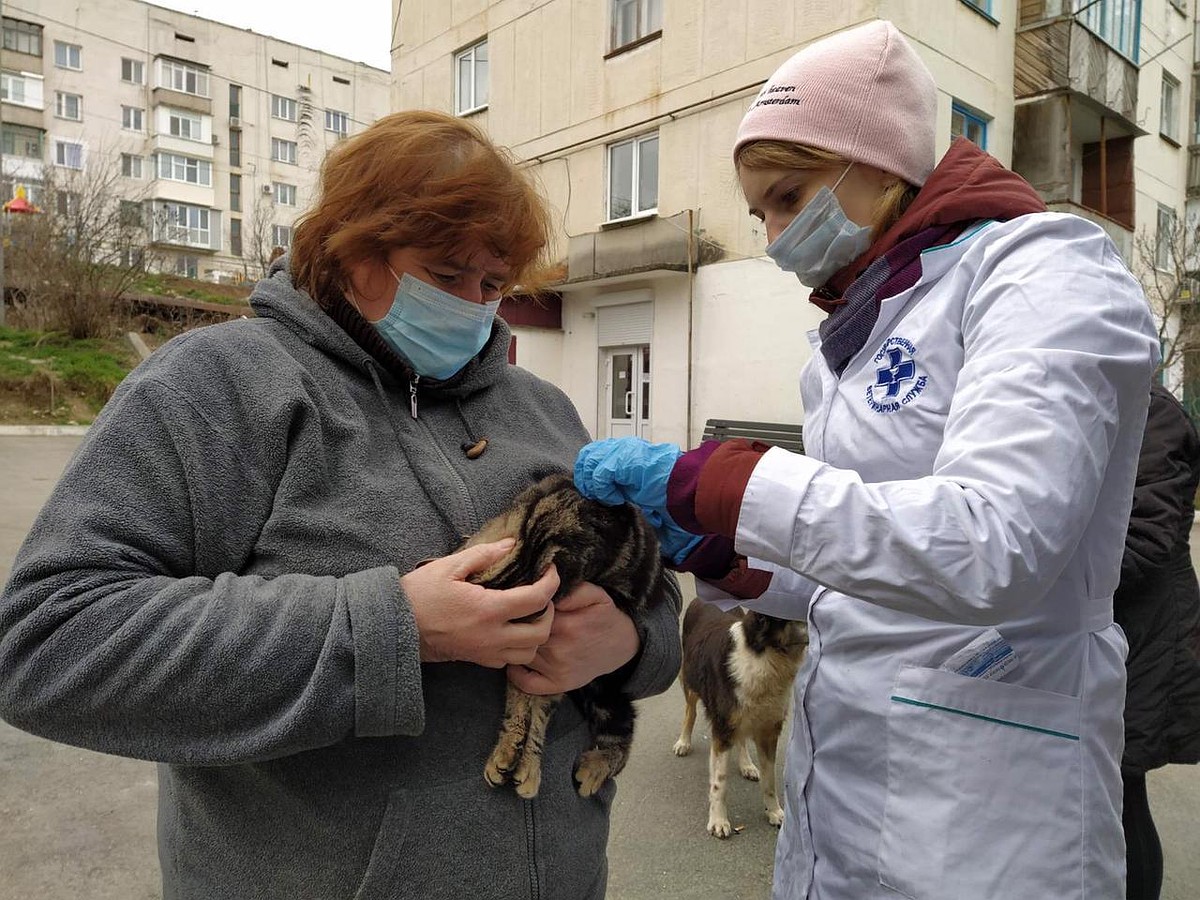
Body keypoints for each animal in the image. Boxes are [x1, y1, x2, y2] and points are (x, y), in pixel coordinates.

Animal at [463, 475, 676, 801]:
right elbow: (519, 700)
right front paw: (507, 751)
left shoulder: (552, 672)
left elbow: (536, 710)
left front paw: (527, 766)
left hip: (605, 696)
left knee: (622, 737)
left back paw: (594, 768)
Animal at [676, 600, 806, 840]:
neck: (764, 655)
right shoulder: (723, 729)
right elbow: (719, 782)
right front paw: (718, 821)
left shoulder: (768, 731)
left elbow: (769, 780)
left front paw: (774, 812)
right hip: (689, 679)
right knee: (690, 712)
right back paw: (683, 742)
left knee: (742, 738)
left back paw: (746, 764)